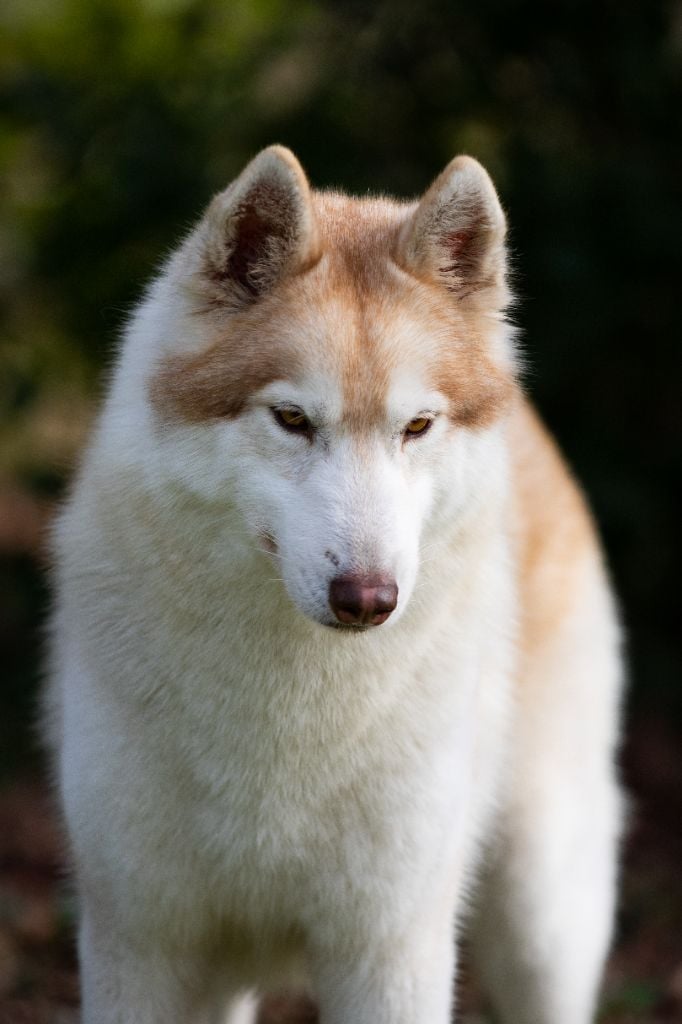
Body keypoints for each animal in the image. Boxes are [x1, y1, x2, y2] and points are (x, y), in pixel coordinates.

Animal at [47, 146, 624, 1024]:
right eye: (291, 420)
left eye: (416, 427)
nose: (368, 599)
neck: (285, 718)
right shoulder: (142, 944)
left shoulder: (390, 954)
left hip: (542, 916)